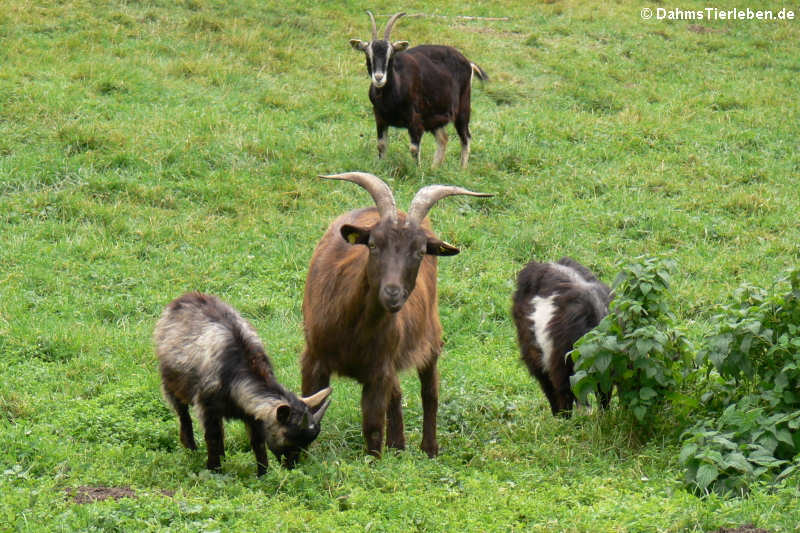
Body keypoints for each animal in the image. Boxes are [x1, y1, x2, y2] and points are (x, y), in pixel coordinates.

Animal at [153, 290, 332, 474]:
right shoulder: (206, 406)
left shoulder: (252, 414)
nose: (292, 466)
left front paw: (263, 473)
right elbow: (212, 437)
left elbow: (257, 442)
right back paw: (191, 448)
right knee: (183, 415)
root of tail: (184, 297)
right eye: (288, 436)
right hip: (171, 384)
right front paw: (214, 470)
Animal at [298, 172, 488, 456]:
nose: (392, 293)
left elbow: (373, 428)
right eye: (373, 245)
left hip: (430, 337)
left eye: (420, 251)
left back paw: (429, 448)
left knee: (429, 391)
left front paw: (374, 460)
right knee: (397, 394)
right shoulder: (313, 359)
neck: (352, 329)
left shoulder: (379, 371)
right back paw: (398, 446)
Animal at [350, 10, 488, 168]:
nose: (379, 78)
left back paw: (462, 168)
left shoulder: (415, 120)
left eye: (391, 55)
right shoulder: (380, 117)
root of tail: (469, 63)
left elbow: (414, 149)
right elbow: (381, 145)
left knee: (465, 137)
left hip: (463, 108)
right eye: (367, 54)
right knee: (443, 138)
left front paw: (417, 170)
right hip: (435, 115)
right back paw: (434, 168)